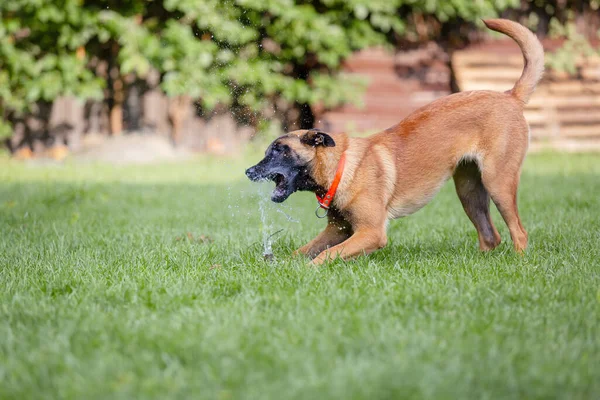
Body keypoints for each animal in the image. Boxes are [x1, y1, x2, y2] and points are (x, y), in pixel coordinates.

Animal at [245, 18, 544, 264]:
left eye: (279, 150)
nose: (248, 171)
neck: (341, 167)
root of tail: (509, 96)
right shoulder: (336, 230)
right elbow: (303, 251)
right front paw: (279, 266)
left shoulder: (371, 232)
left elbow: (325, 255)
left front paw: (307, 271)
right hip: (469, 190)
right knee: (491, 236)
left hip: (497, 181)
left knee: (519, 232)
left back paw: (518, 263)